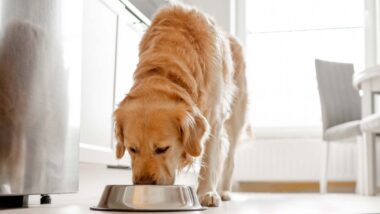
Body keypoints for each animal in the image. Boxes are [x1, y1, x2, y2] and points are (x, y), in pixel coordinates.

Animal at [114, 2, 248, 207]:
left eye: (162, 149)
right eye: (132, 149)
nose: (144, 184)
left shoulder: (214, 119)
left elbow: (210, 160)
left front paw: (207, 193)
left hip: (235, 118)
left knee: (229, 158)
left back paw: (224, 191)